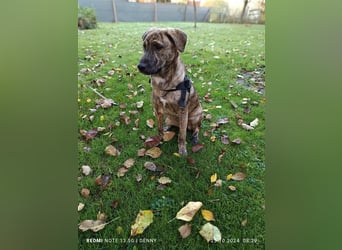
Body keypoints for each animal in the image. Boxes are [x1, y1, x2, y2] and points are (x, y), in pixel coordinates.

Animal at [137, 27, 202, 156]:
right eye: (144, 46)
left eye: (158, 46)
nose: (140, 66)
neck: (164, 81)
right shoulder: (157, 109)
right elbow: (159, 128)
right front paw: (159, 139)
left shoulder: (183, 111)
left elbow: (182, 135)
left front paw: (182, 149)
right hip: (169, 117)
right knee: (171, 124)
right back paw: (168, 127)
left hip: (195, 116)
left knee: (196, 128)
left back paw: (195, 136)